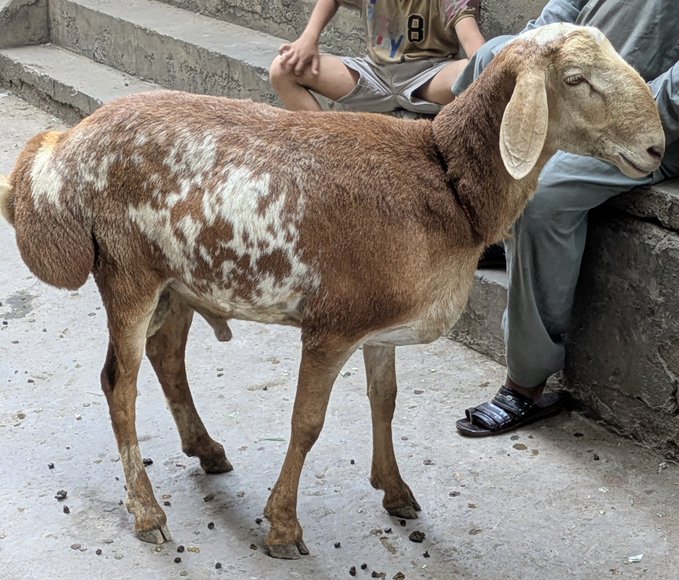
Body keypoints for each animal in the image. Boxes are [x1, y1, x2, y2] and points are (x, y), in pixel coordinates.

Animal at [0, 24, 664, 559]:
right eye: (576, 80)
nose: (657, 147)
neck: (445, 177)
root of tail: (62, 150)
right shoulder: (334, 324)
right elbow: (307, 422)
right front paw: (283, 528)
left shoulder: (381, 326)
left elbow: (384, 401)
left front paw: (396, 492)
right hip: (128, 271)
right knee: (120, 383)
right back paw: (147, 513)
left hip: (179, 278)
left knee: (167, 357)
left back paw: (206, 449)